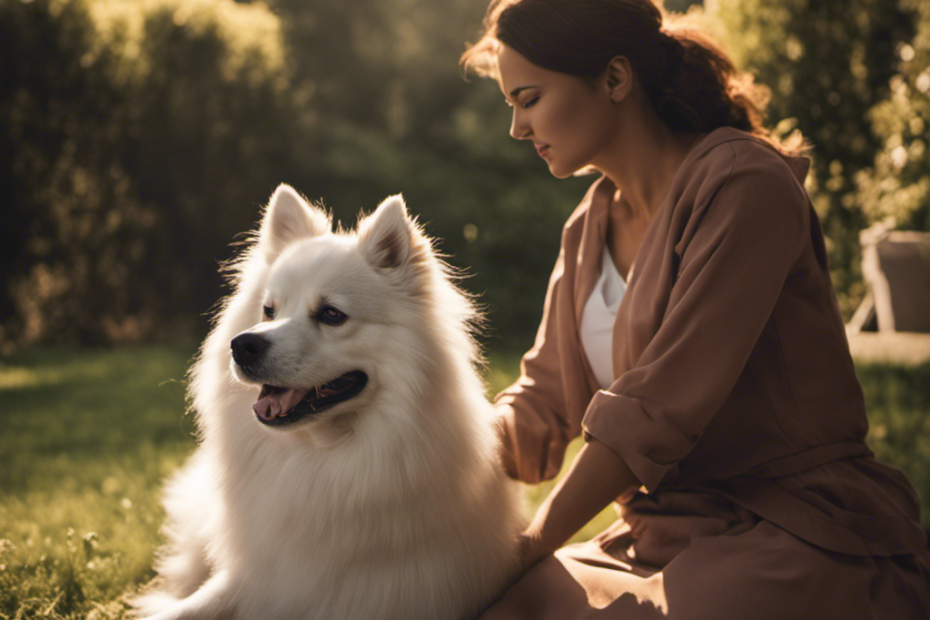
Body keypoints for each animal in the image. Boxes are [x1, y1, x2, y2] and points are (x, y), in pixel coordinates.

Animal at [133, 185, 520, 620]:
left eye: (332, 314)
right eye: (269, 310)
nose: (243, 345)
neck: (322, 458)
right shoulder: (252, 578)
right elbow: (184, 608)